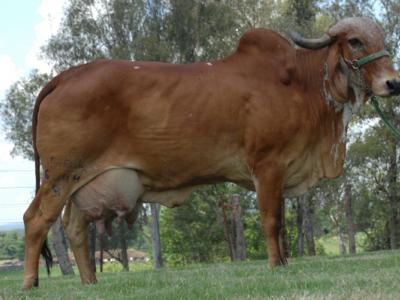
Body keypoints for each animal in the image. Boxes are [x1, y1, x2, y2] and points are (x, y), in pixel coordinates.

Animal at [22, 16, 400, 288]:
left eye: (384, 42)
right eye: (355, 41)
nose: (393, 83)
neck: (303, 84)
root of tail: (64, 77)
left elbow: (279, 222)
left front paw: (283, 262)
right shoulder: (267, 165)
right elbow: (272, 220)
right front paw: (276, 266)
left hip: (82, 182)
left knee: (73, 227)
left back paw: (90, 282)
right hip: (60, 176)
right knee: (36, 220)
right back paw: (30, 283)